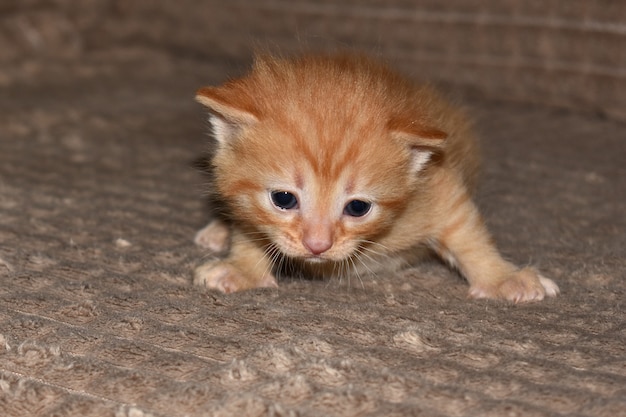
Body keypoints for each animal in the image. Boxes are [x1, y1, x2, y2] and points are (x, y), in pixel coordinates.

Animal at [193, 54, 560, 302]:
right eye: (283, 199)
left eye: (358, 208)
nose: (318, 245)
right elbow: (249, 229)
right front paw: (243, 268)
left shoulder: (437, 184)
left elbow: (467, 232)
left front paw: (503, 278)